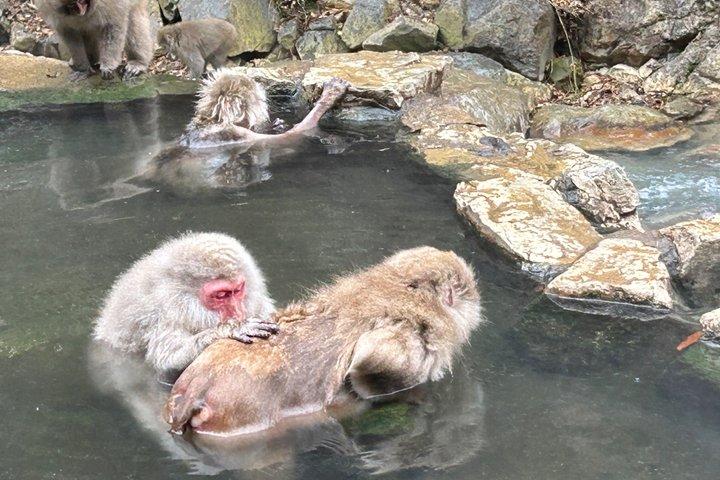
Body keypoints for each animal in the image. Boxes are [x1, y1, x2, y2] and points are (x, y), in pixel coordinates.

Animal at [93, 232, 278, 375]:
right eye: (221, 295)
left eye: (237, 290)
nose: (238, 312)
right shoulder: (165, 317)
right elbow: (166, 366)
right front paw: (229, 330)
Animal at [163, 246, 483, 435]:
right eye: (468, 291)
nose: (479, 301)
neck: (403, 289)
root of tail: (193, 389)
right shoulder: (417, 337)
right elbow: (370, 364)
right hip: (240, 416)